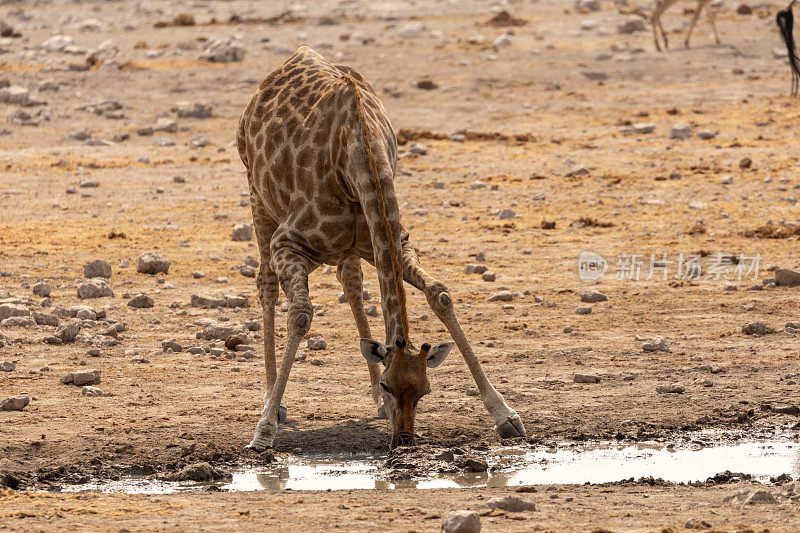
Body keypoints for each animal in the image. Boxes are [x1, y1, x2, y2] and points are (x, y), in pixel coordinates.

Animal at [236, 47, 524, 450]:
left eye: (425, 391)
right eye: (391, 385)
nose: (403, 440)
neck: (359, 154)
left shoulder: (392, 239)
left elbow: (439, 294)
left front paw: (505, 414)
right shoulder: (288, 242)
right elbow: (301, 315)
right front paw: (263, 431)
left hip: (355, 243)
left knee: (350, 280)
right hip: (257, 196)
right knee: (265, 283)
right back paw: (271, 403)